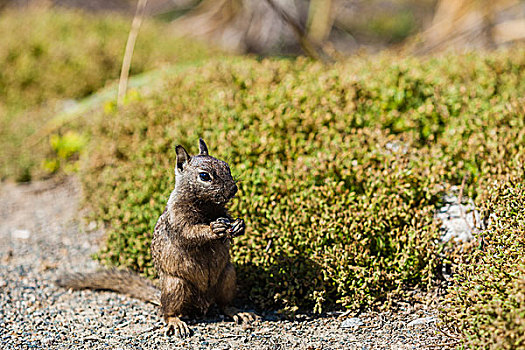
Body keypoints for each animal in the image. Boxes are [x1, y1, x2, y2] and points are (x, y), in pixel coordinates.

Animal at [55, 139, 256, 336]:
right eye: (204, 176)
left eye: (226, 166)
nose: (233, 189)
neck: (206, 205)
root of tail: (202, 303)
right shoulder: (178, 220)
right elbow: (190, 233)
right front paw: (214, 229)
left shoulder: (221, 211)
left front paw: (239, 225)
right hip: (175, 286)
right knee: (167, 312)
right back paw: (176, 323)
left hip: (228, 276)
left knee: (224, 304)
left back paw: (238, 312)